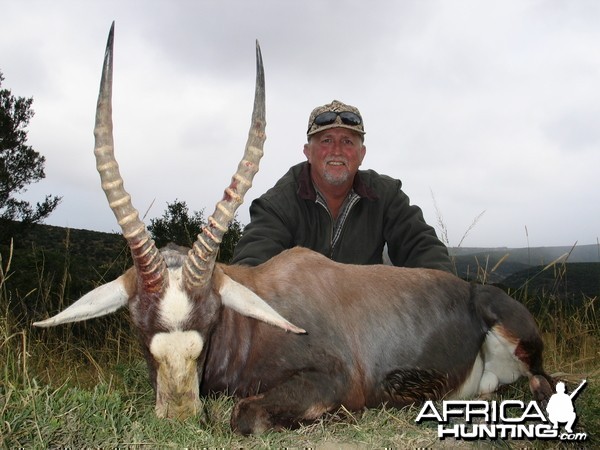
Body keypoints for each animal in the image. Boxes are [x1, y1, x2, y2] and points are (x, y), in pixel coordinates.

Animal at [35, 22, 556, 434]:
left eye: (212, 319)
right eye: (137, 323)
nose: (180, 417)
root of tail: (472, 291)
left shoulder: (332, 379)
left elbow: (244, 415)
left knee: (543, 384)